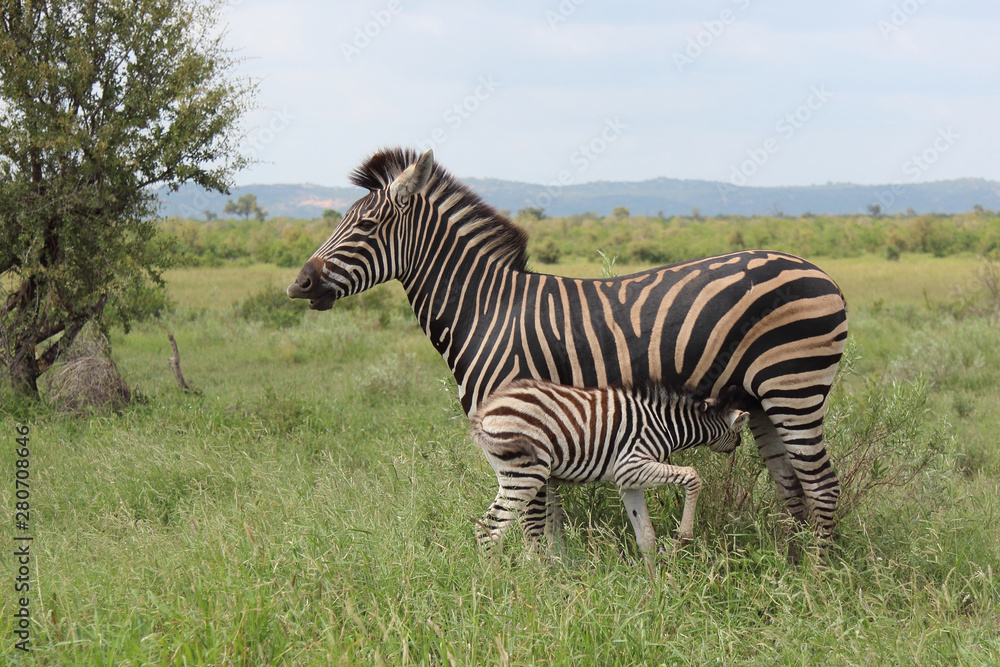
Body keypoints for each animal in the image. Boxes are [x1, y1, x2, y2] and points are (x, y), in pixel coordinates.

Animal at [287, 147, 848, 544]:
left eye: (365, 225)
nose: (299, 285)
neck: (485, 311)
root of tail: (822, 273)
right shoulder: (542, 425)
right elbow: (550, 512)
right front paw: (561, 578)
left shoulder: (521, 419)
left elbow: (534, 517)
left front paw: (538, 587)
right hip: (761, 401)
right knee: (792, 488)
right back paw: (789, 567)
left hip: (794, 388)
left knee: (821, 485)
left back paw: (817, 582)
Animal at [470, 379, 750, 564]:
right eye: (738, 431)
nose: (738, 446)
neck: (666, 424)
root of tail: (485, 412)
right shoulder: (631, 464)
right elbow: (692, 476)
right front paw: (682, 538)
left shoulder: (628, 481)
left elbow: (646, 537)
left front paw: (656, 589)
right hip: (527, 475)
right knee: (491, 531)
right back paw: (497, 589)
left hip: (513, 475)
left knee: (486, 528)